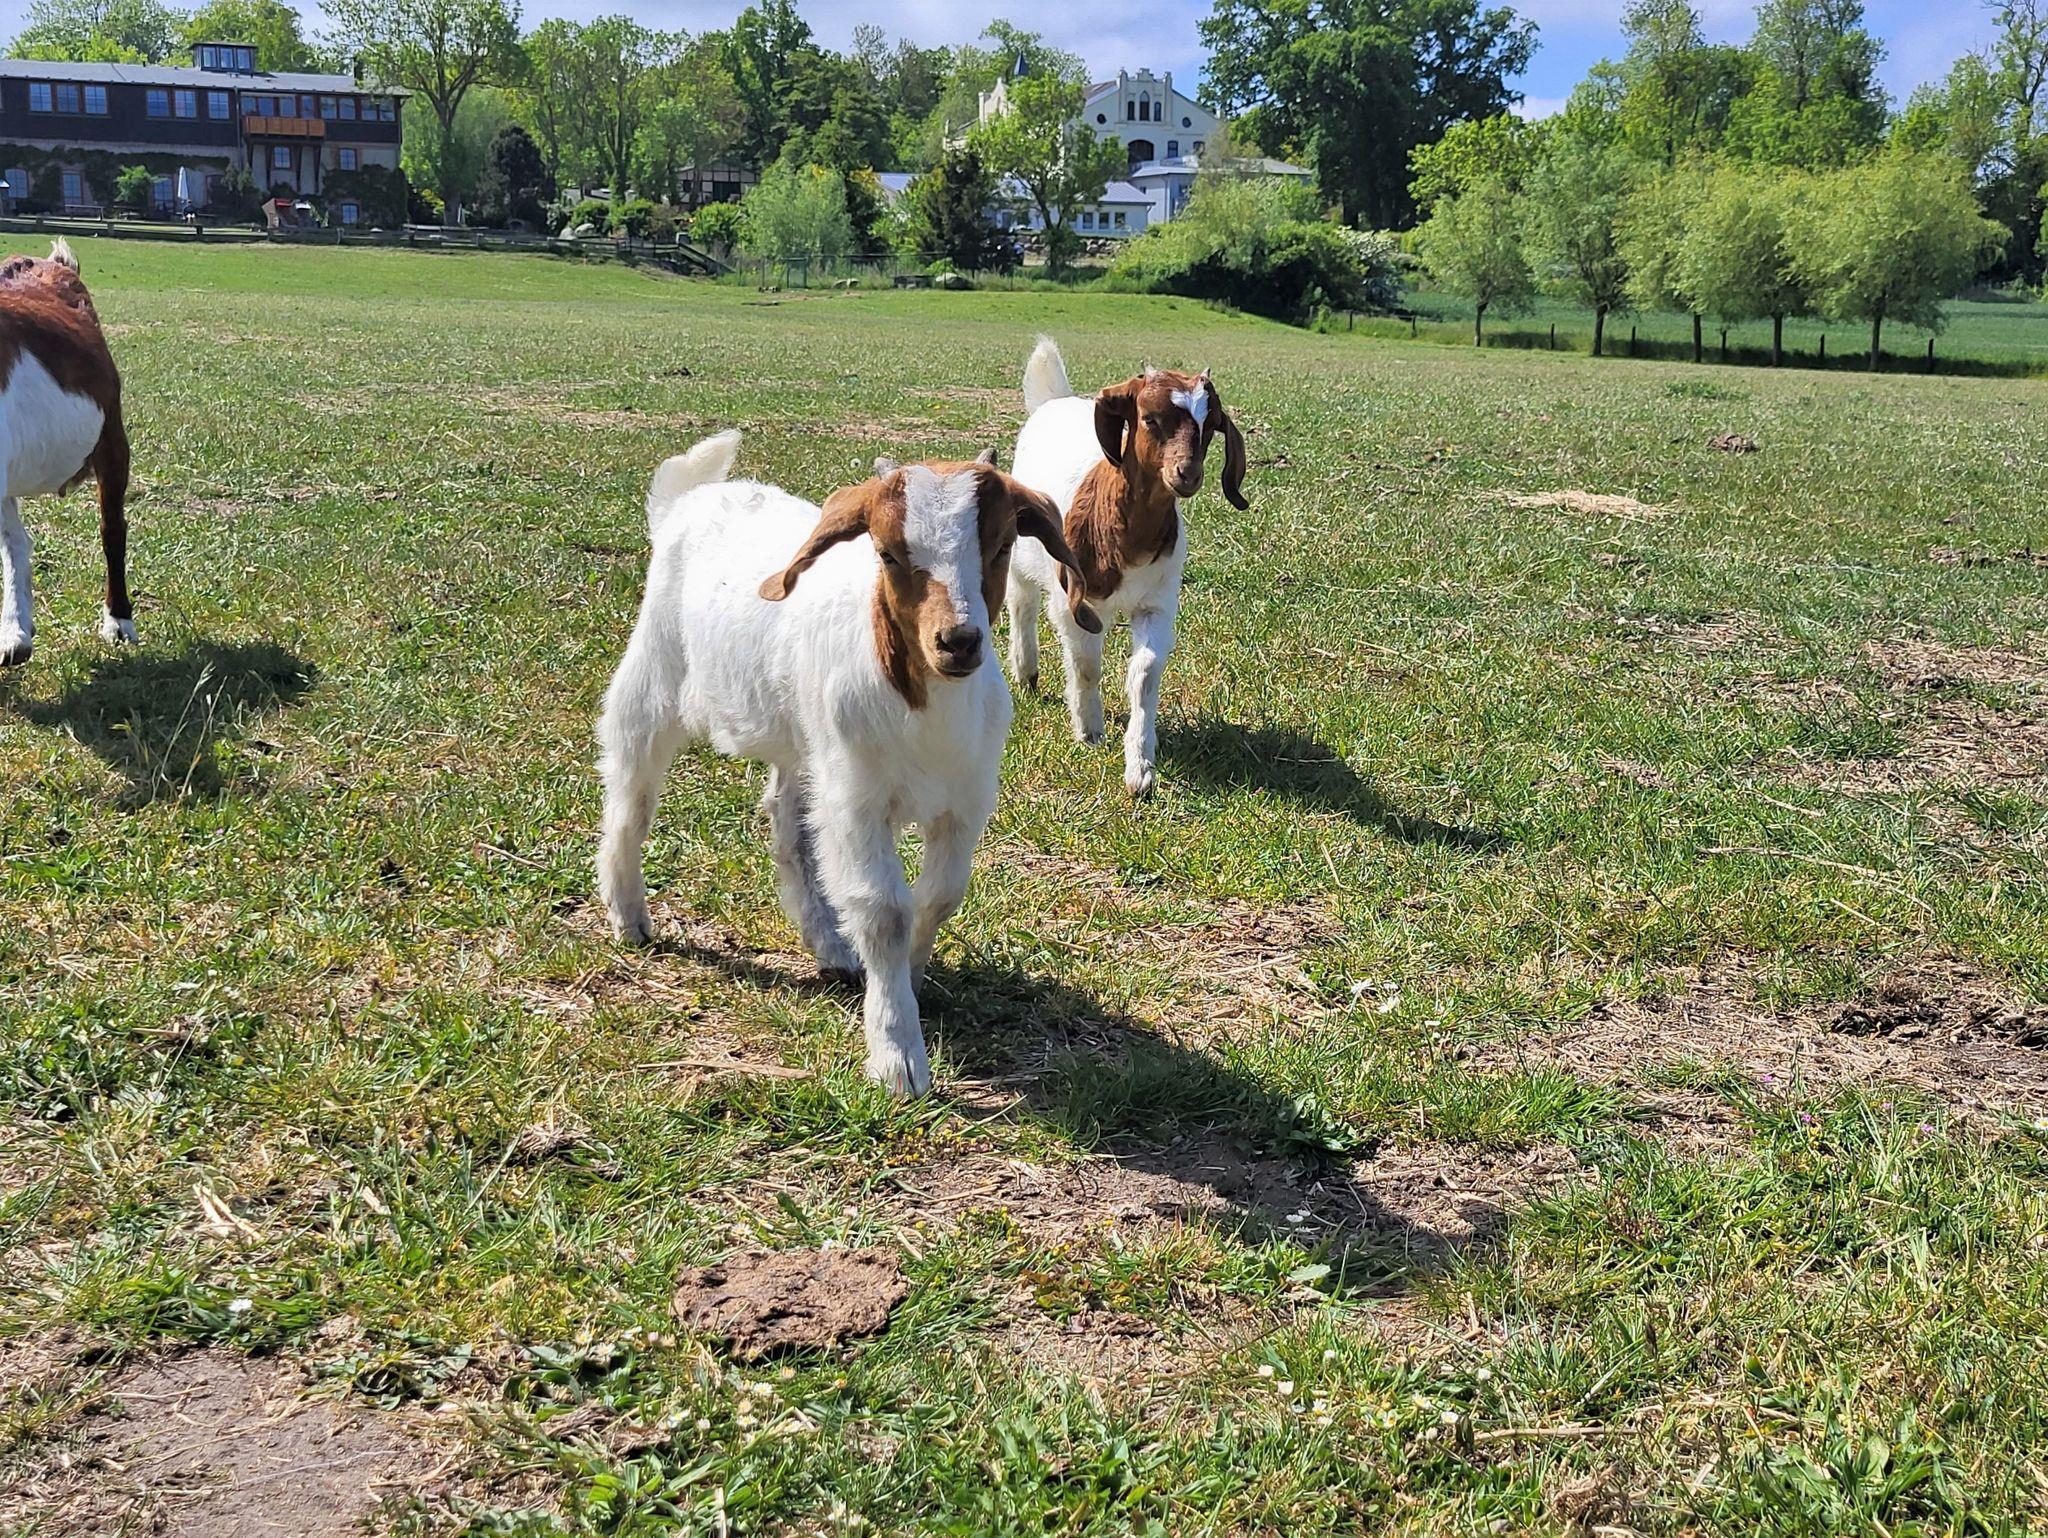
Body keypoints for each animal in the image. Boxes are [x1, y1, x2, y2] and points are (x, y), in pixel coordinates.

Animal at [595, 432, 1100, 1095]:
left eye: (1000, 544)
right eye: (885, 553)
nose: (958, 642)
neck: (923, 705)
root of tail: (687, 499)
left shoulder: (963, 802)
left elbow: (940, 896)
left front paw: (910, 976)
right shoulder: (858, 801)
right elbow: (883, 910)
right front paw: (897, 1054)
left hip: (806, 743)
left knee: (787, 823)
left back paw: (830, 945)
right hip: (655, 676)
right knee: (630, 790)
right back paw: (629, 915)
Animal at [1005, 337, 1248, 797]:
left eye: (1210, 426)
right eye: (1150, 418)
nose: (1187, 474)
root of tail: (1056, 400)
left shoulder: (1157, 603)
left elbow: (1145, 674)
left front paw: (1140, 768)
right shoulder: (1074, 602)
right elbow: (1086, 665)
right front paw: (1089, 731)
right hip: (1020, 551)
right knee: (1021, 603)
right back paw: (1026, 672)